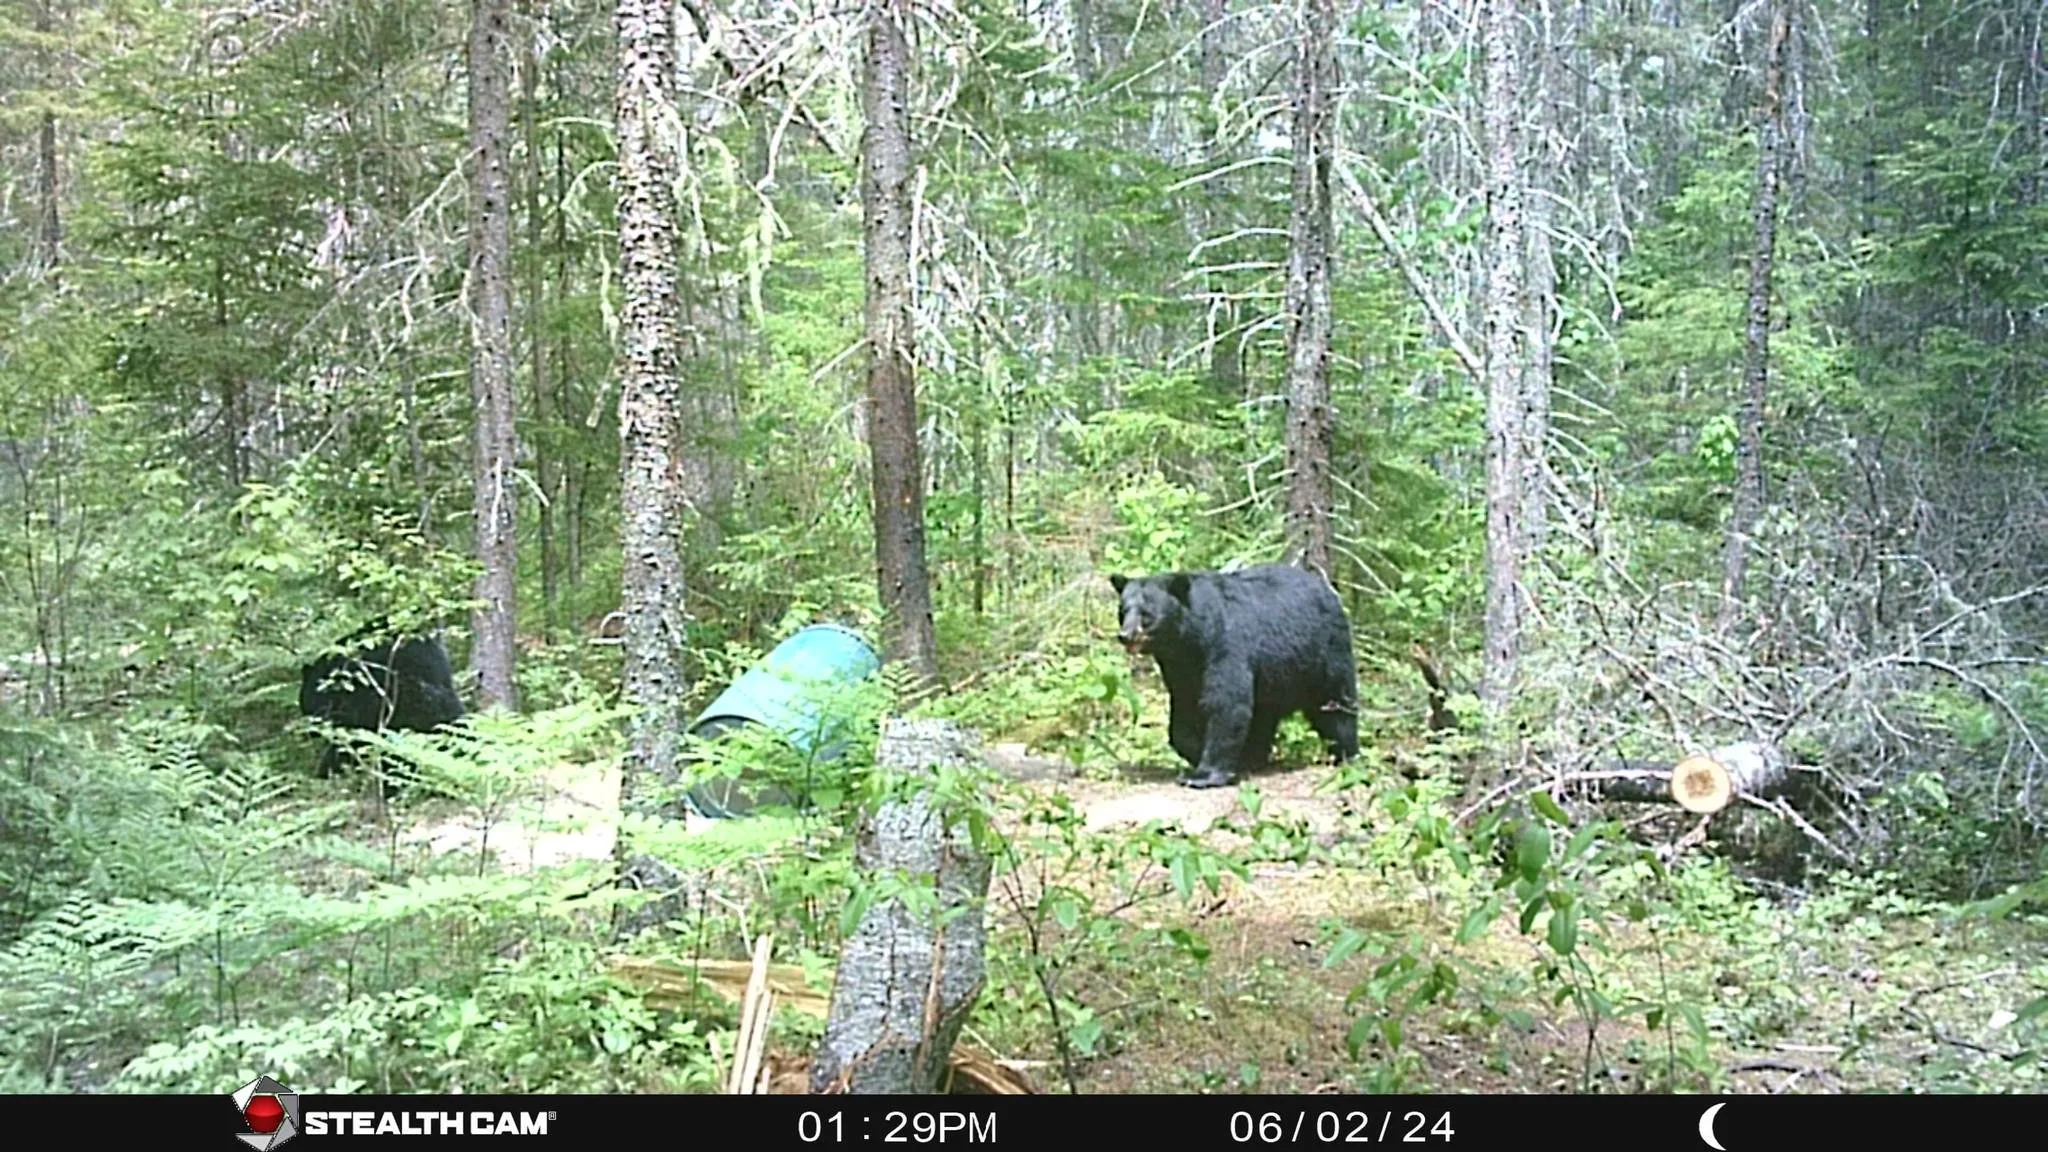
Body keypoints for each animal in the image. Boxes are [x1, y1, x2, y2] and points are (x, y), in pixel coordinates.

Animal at [1108, 563, 1360, 789]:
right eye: (1123, 610)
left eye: (1146, 614)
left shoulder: (1226, 644)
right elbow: (1185, 709)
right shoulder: (1181, 667)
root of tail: (1328, 590)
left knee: (1336, 706)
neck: (1192, 638)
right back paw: (1255, 756)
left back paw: (1346, 753)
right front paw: (1204, 754)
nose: (1125, 635)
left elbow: (1227, 703)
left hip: (1324, 652)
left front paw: (1204, 774)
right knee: (1263, 716)